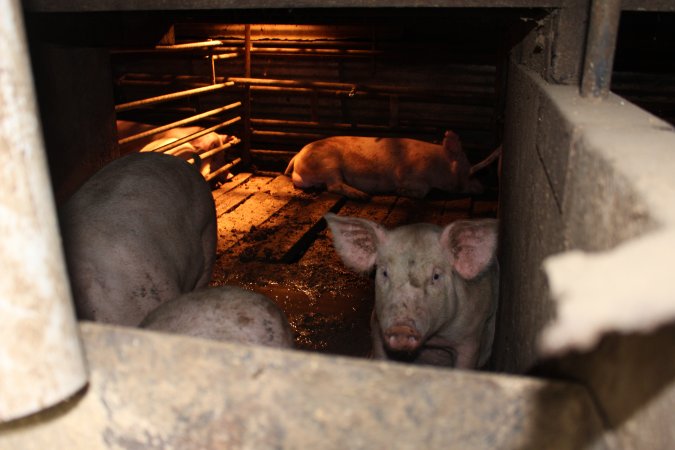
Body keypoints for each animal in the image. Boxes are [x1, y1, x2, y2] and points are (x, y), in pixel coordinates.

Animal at [286, 130, 492, 200]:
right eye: (470, 171)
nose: (483, 188)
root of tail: (297, 156)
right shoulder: (408, 175)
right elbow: (423, 192)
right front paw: (399, 191)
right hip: (329, 165)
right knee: (334, 186)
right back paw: (363, 196)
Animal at [324, 213, 500, 368]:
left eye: (436, 276)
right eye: (385, 273)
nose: (401, 328)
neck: (433, 340)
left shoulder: (470, 338)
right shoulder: (377, 326)